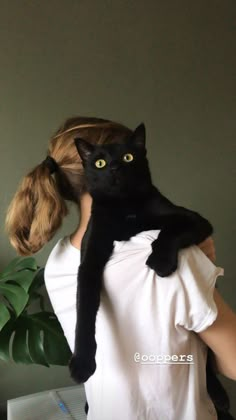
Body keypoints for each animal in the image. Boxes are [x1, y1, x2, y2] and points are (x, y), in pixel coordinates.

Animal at [69, 123, 233, 418]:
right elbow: (84, 312)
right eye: (99, 163)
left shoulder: (194, 219)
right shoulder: (90, 259)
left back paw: (219, 395)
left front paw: (160, 262)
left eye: (128, 157)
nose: (114, 168)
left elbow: (169, 230)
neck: (126, 208)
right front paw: (82, 363)